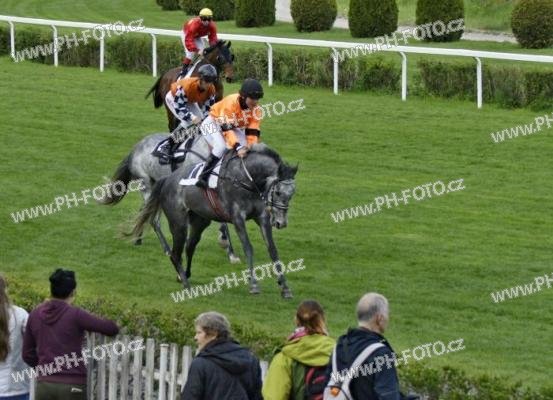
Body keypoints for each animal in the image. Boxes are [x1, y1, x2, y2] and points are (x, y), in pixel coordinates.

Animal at [98, 132, 240, 264]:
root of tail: (135, 149)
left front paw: (230, 252)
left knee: (144, 212)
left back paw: (138, 239)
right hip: (147, 184)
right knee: (153, 219)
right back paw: (166, 249)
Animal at [130, 142, 298, 298]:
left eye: (292, 193)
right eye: (278, 192)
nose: (281, 223)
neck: (247, 180)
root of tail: (166, 179)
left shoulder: (262, 217)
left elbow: (273, 250)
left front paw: (285, 287)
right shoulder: (238, 218)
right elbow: (248, 248)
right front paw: (254, 285)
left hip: (200, 221)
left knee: (189, 247)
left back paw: (184, 275)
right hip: (178, 224)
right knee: (175, 253)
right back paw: (185, 283)